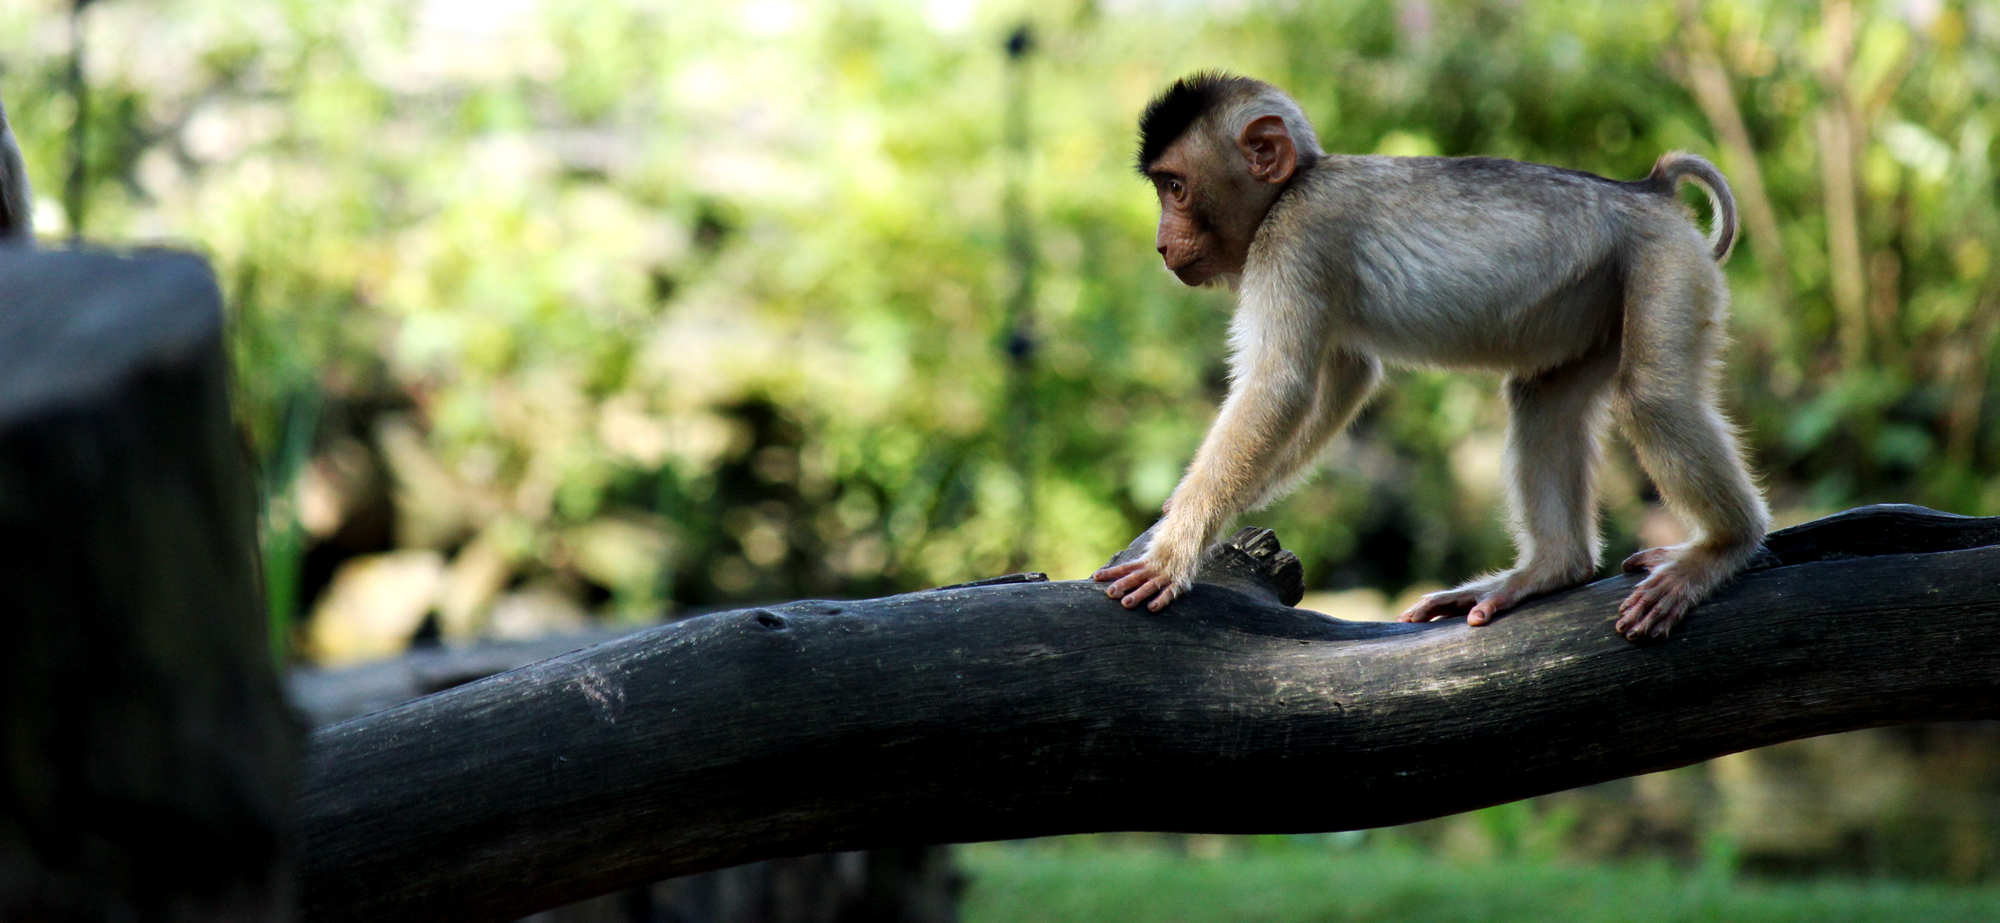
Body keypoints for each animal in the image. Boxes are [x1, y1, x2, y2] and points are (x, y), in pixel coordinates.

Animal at [1096, 71, 1768, 639]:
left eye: (1176, 188)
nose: (1160, 243)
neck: (1293, 186)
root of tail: (1649, 190)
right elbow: (1344, 377)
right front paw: (1223, 507)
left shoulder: (1297, 236)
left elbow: (1277, 387)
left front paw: (1172, 550)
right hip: (1601, 294)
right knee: (1543, 400)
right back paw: (1551, 569)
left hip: (1664, 260)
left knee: (1650, 398)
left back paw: (1725, 545)